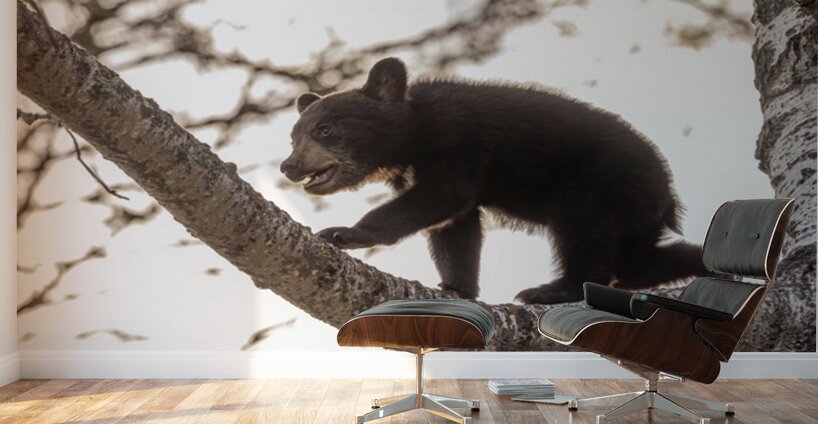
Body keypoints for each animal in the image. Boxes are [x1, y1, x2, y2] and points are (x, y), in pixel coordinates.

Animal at [280, 57, 706, 304]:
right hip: (634, 215)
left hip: (601, 185)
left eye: (325, 130)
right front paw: (457, 287)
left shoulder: (455, 140)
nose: (289, 166)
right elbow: (456, 226)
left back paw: (552, 290)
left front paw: (344, 232)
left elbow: (442, 197)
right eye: (293, 136)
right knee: (639, 263)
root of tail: (668, 194)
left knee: (586, 236)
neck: (414, 134)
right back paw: (703, 262)